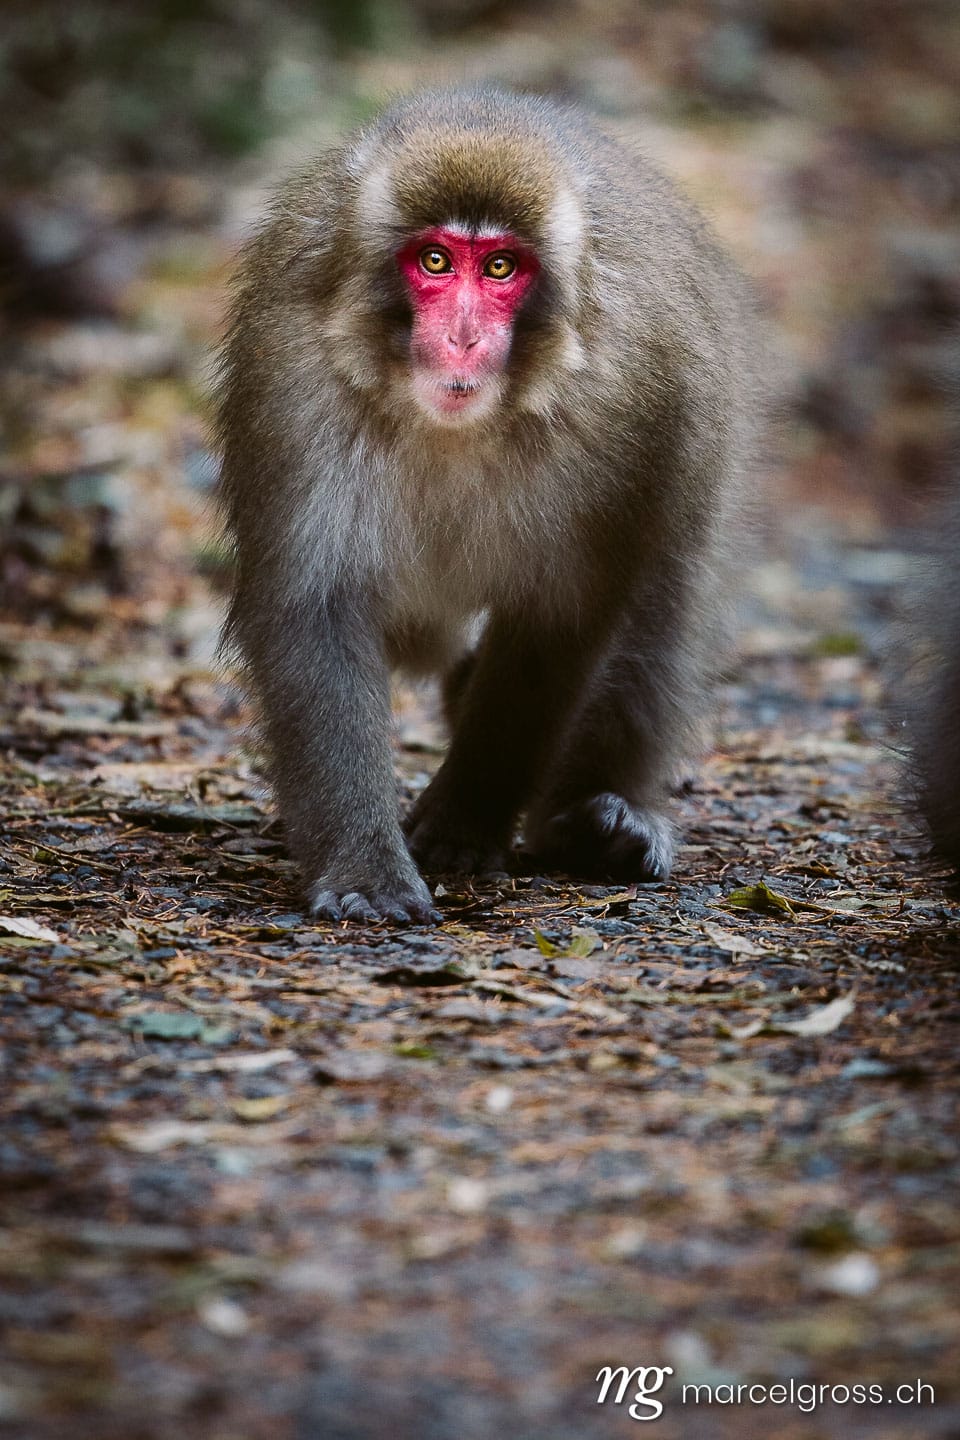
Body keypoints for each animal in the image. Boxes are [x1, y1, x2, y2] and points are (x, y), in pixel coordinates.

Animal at [217, 87, 761, 924]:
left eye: (501, 267)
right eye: (436, 261)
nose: (465, 337)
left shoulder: (626, 400)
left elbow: (558, 618)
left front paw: (462, 822)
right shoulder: (292, 376)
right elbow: (314, 607)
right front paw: (365, 864)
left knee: (666, 600)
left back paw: (600, 824)